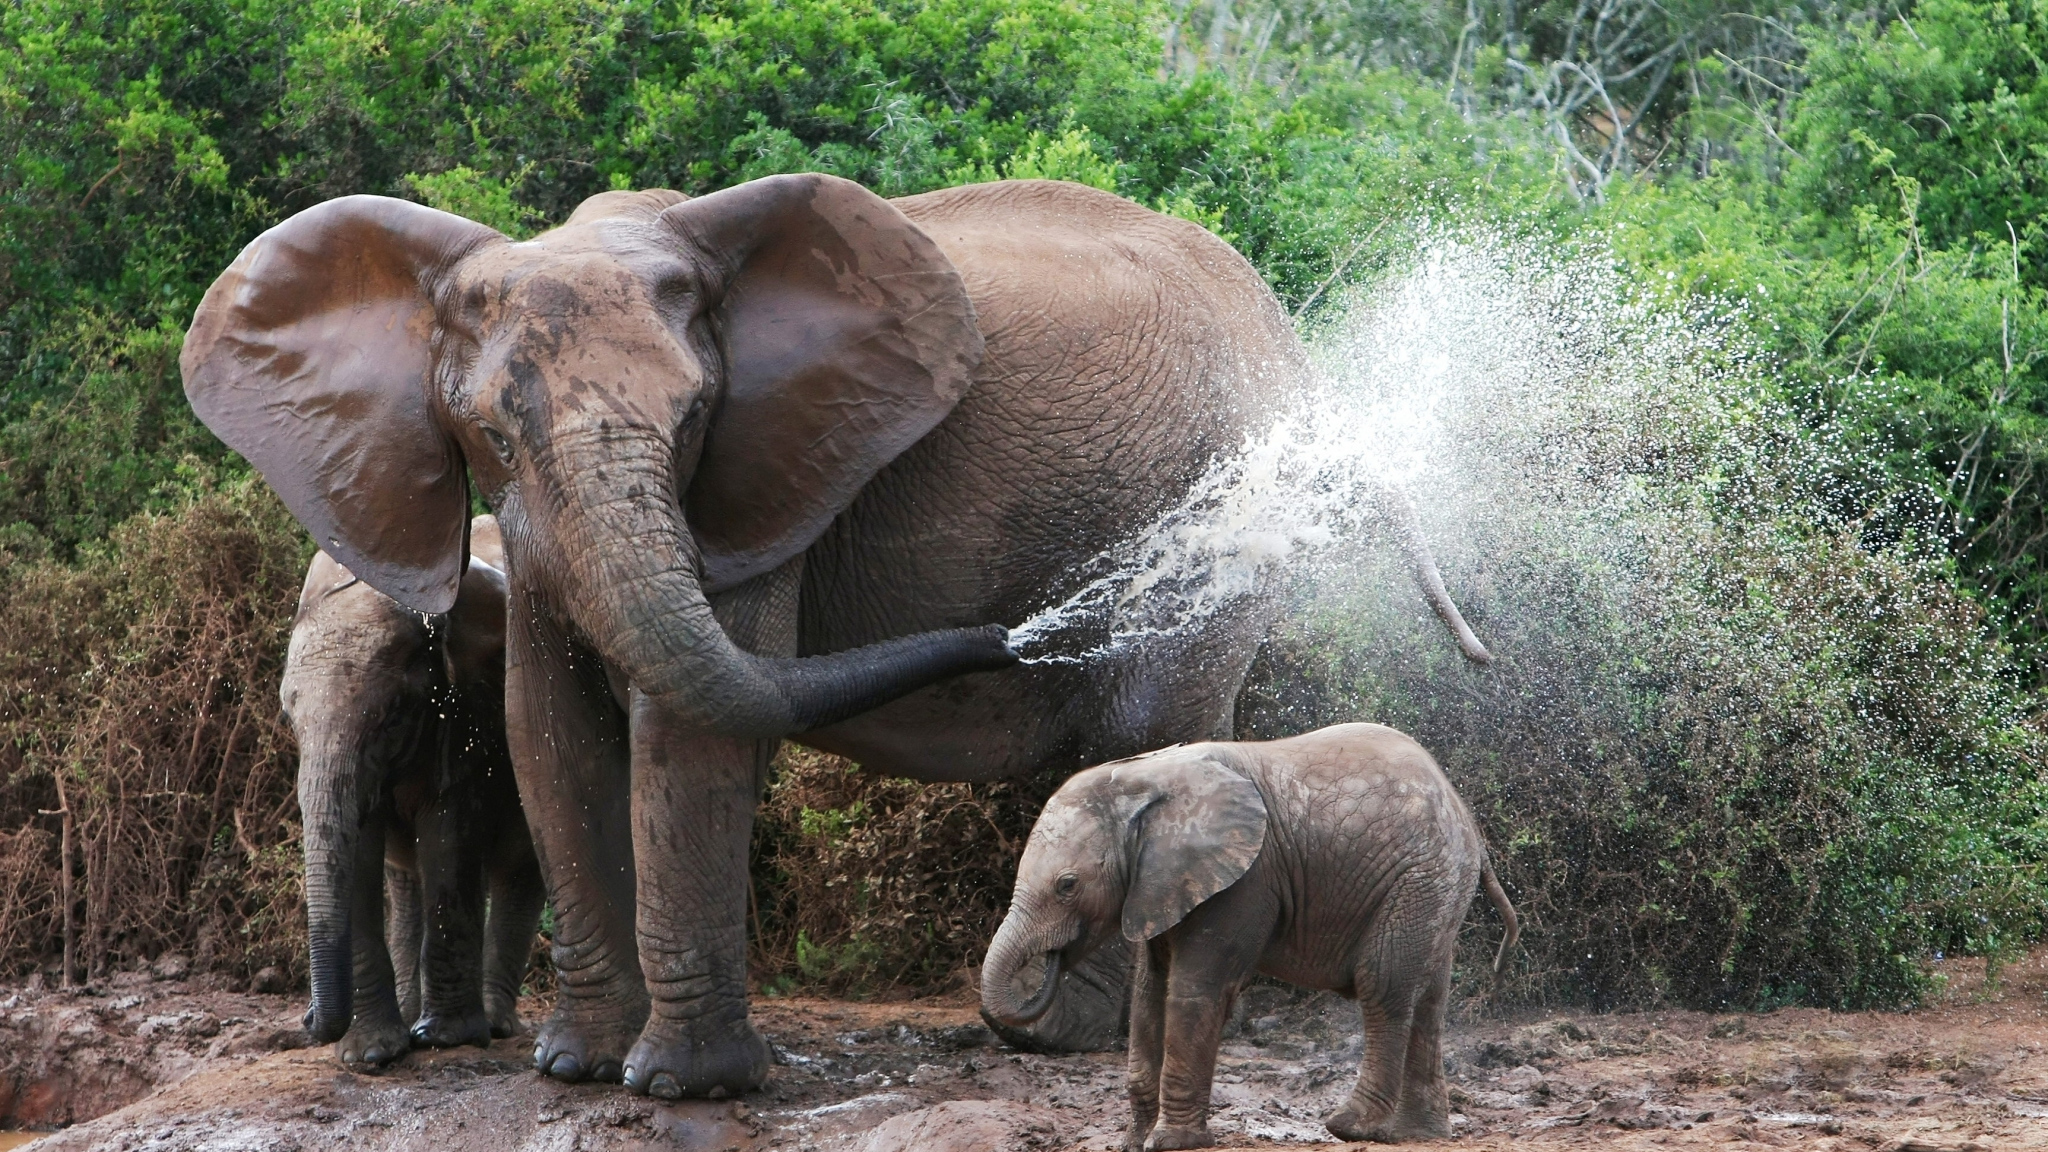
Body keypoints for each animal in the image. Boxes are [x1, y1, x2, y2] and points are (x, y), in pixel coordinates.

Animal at [288, 516, 548, 1065]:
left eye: (391, 716)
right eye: (289, 719)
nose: (307, 1019)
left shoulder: (470, 713)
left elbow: (449, 834)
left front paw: (448, 1039)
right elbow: (361, 851)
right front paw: (371, 1056)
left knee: (522, 870)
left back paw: (494, 1025)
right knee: (406, 882)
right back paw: (412, 1019)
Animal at [983, 721, 1515, 1139]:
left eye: (1067, 886)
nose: (1046, 967)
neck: (1143, 779)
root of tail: (1467, 819)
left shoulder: (1245, 880)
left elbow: (1197, 989)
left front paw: (1172, 1142)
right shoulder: (1161, 883)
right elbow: (1149, 994)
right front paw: (1135, 1142)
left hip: (1419, 878)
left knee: (1384, 985)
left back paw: (1349, 1126)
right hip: (1436, 888)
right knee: (1428, 1000)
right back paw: (1416, 1135)